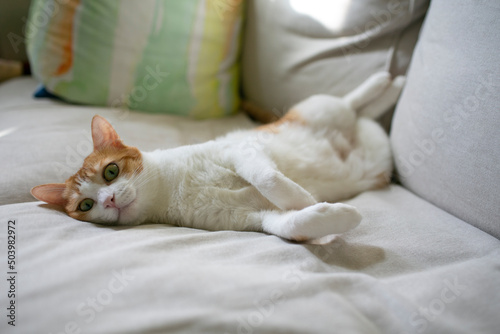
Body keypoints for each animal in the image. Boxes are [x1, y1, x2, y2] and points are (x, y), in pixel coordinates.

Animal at [31, 72, 404, 241]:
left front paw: (302, 197)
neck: (173, 189)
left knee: (351, 102)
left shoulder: (242, 151)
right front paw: (334, 216)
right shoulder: (252, 219)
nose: (107, 200)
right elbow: (290, 224)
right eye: (85, 206)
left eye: (110, 172)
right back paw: (393, 88)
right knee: (367, 116)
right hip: (373, 149)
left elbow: (269, 178)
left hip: (320, 110)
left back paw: (385, 82)